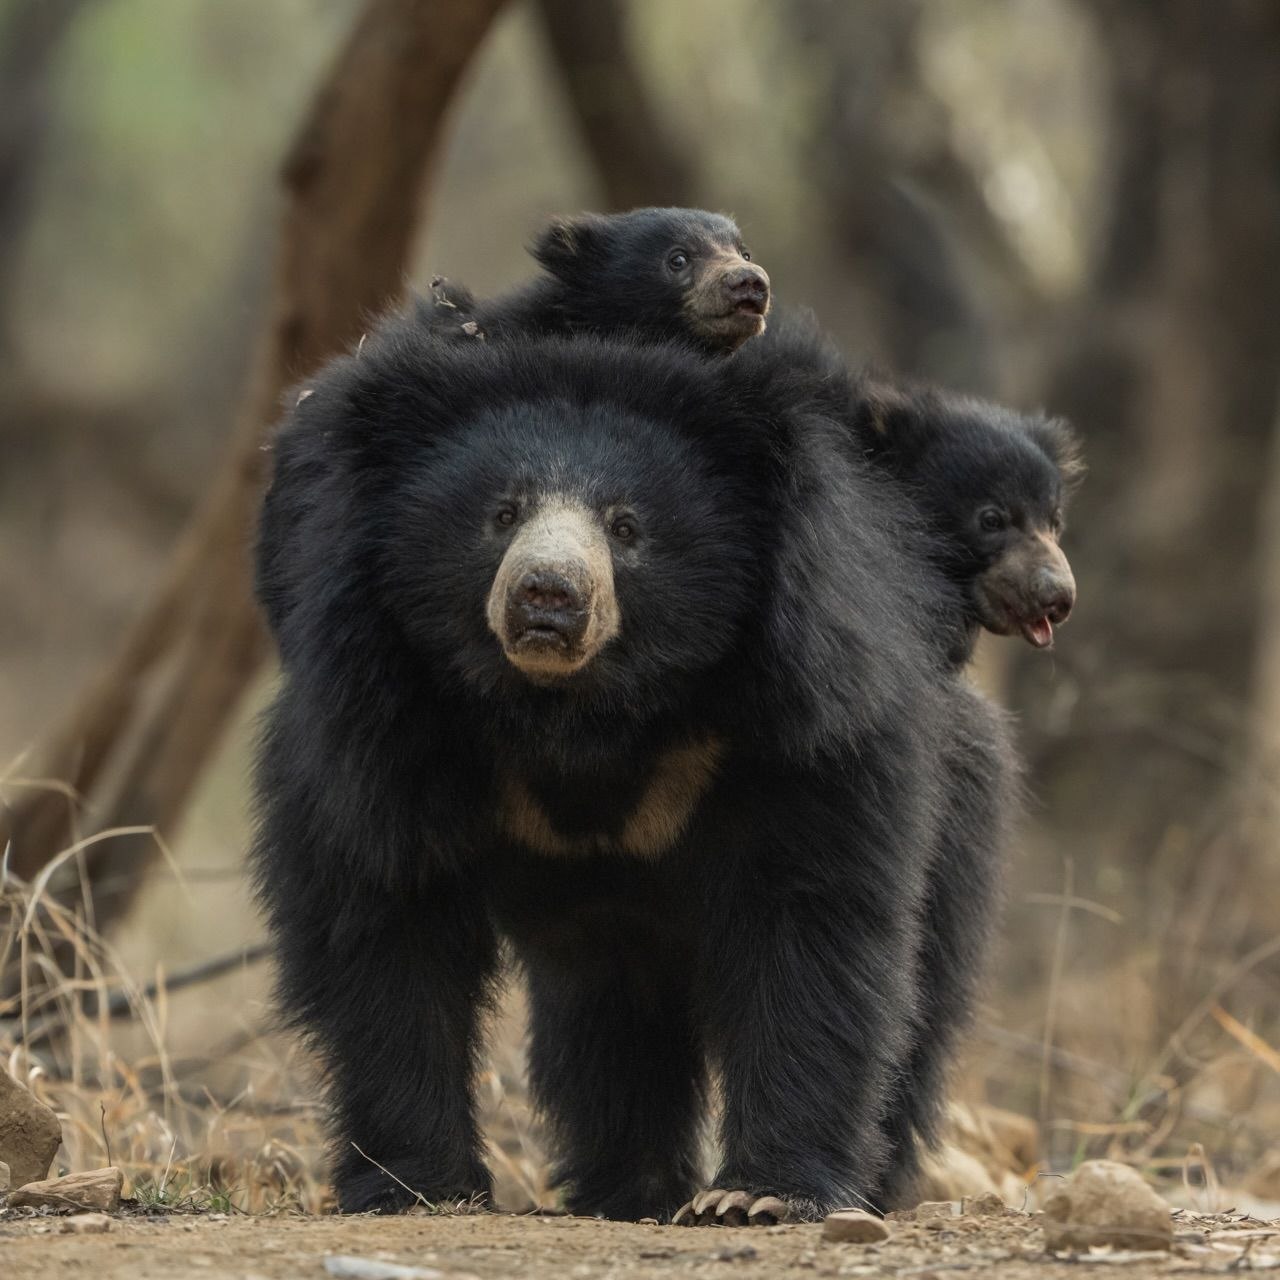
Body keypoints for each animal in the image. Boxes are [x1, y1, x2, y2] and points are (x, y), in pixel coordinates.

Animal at [251, 314, 1007, 1223]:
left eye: (626, 526)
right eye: (501, 513)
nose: (548, 595)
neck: (581, 712)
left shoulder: (804, 726)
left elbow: (812, 926)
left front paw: (760, 1196)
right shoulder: (377, 720)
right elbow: (386, 922)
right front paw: (416, 1185)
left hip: (961, 813)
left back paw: (871, 1188)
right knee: (610, 1020)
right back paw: (625, 1188)